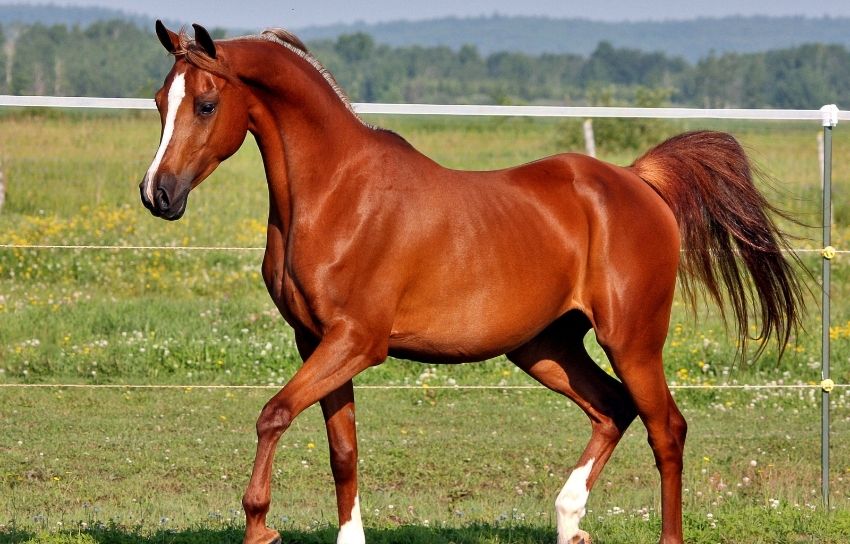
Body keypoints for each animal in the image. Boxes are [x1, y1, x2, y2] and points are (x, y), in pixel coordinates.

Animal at [140, 21, 803, 544]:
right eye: (158, 100)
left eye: (205, 104)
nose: (157, 195)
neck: (335, 193)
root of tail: (638, 181)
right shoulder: (316, 342)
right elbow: (342, 450)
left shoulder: (357, 342)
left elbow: (273, 414)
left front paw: (259, 523)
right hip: (544, 347)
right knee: (613, 408)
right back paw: (569, 521)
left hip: (632, 339)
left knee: (666, 429)